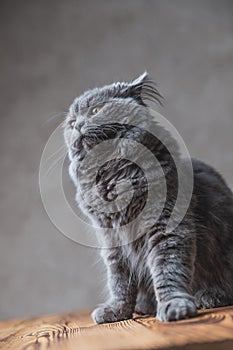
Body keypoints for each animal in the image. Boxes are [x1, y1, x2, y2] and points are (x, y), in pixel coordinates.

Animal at [62, 73, 233, 322]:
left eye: (95, 110)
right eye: (71, 122)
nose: (77, 125)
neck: (113, 177)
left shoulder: (166, 225)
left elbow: (167, 268)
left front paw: (175, 306)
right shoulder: (111, 240)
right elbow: (119, 281)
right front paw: (117, 311)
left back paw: (209, 296)